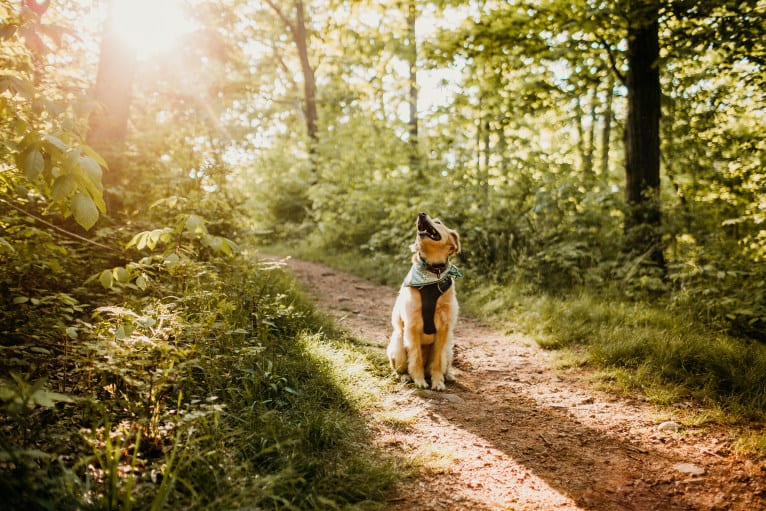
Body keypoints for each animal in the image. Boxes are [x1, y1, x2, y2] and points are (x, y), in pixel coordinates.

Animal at [390, 212, 462, 392]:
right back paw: (405, 376)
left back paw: (448, 375)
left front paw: (437, 382)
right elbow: (415, 358)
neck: (433, 272)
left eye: (438, 222)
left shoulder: (444, 328)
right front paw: (419, 380)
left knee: (443, 364)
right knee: (400, 368)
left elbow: (437, 362)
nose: (421, 214)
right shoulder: (412, 325)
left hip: (449, 348)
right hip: (398, 345)